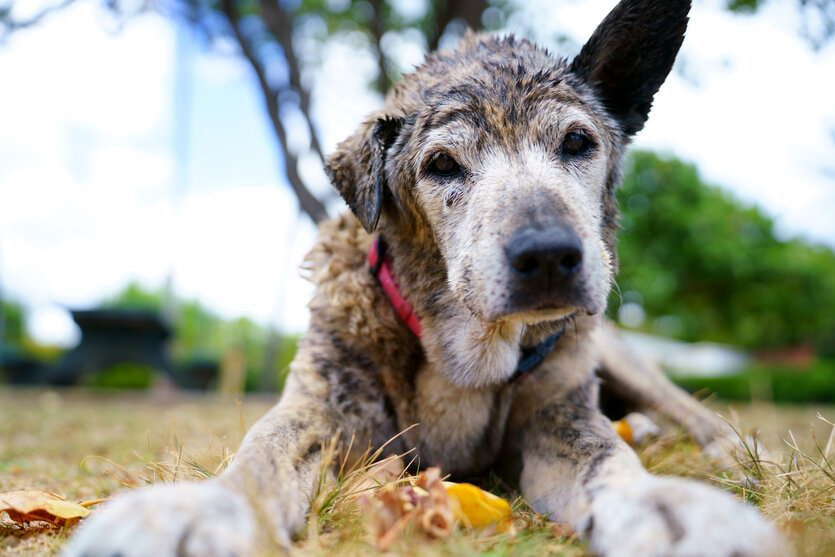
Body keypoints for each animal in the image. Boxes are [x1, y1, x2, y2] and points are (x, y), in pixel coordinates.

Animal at [63, 1, 784, 556]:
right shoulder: (320, 406)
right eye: (441, 164)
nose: (549, 256)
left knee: (683, 410)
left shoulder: (559, 420)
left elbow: (611, 458)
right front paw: (199, 509)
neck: (463, 350)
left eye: (578, 143)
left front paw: (668, 506)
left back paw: (735, 450)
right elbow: (259, 453)